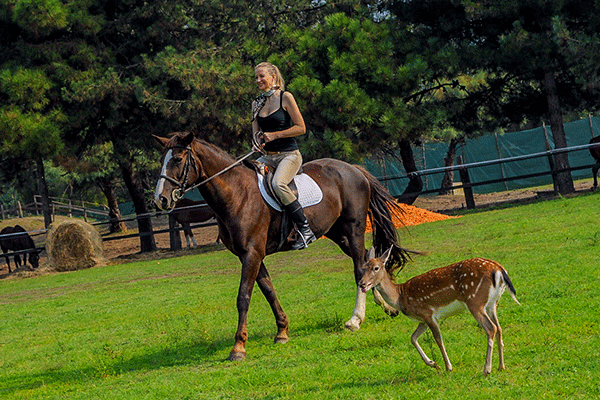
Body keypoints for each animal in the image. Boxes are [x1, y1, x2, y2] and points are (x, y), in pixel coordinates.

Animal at [152, 132, 410, 362]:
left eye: (177, 159)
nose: (161, 200)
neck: (237, 193)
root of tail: (354, 169)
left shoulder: (251, 254)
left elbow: (243, 297)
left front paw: (238, 347)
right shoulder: (251, 256)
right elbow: (269, 291)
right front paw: (282, 332)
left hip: (353, 229)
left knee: (358, 269)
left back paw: (355, 319)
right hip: (338, 233)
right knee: (367, 262)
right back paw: (386, 307)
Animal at [356, 248, 520, 376]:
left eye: (376, 268)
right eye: (363, 267)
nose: (361, 283)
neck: (400, 296)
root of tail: (498, 269)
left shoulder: (428, 314)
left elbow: (438, 340)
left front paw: (448, 367)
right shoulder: (422, 319)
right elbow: (412, 338)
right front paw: (433, 363)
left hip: (475, 301)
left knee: (491, 328)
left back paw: (487, 369)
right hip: (492, 304)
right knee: (499, 328)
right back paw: (501, 366)